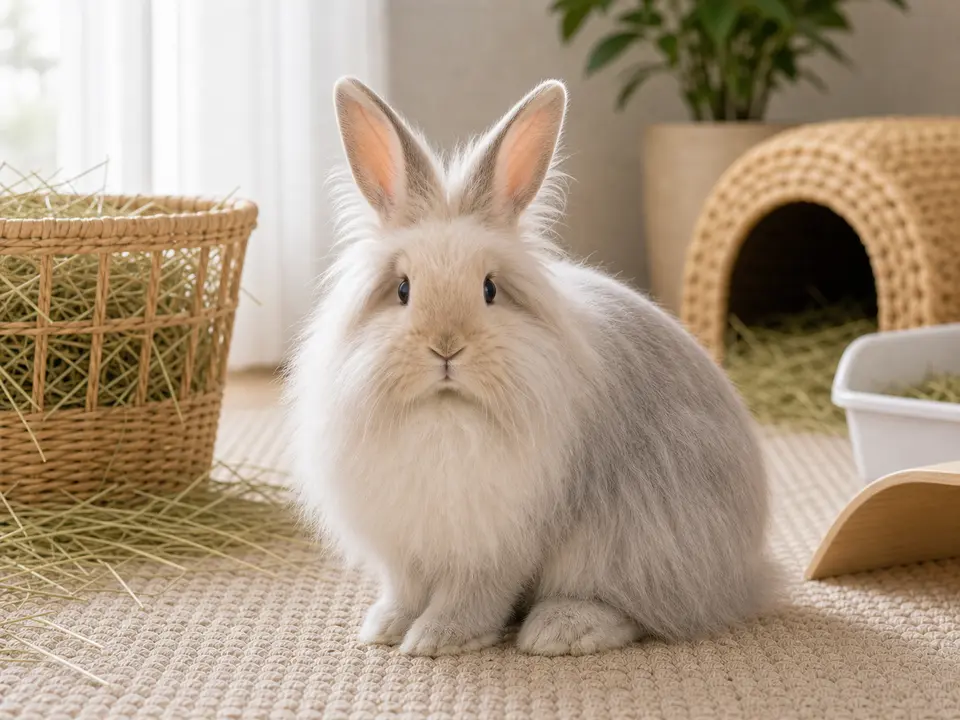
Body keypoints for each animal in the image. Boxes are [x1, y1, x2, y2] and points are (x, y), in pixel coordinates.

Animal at [286, 76, 776, 657]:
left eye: (489, 289)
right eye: (403, 290)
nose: (446, 348)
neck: (445, 417)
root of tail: (749, 575)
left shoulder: (499, 544)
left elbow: (474, 596)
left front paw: (436, 640)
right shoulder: (406, 543)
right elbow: (404, 589)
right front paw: (384, 628)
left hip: (638, 544)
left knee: (646, 612)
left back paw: (558, 630)